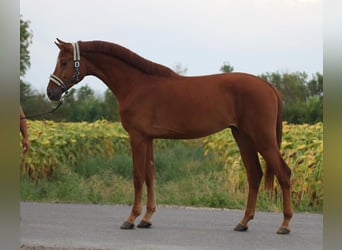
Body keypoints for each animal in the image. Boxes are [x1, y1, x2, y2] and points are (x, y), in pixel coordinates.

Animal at [46, 39, 292, 234]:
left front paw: (131, 219)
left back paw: (285, 224)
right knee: (254, 174)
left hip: (262, 139)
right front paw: (146, 219)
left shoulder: (137, 137)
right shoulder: (148, 138)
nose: (51, 92)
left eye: (64, 62)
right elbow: (150, 175)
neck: (136, 84)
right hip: (243, 136)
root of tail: (268, 85)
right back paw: (243, 222)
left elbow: (137, 176)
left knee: (283, 173)